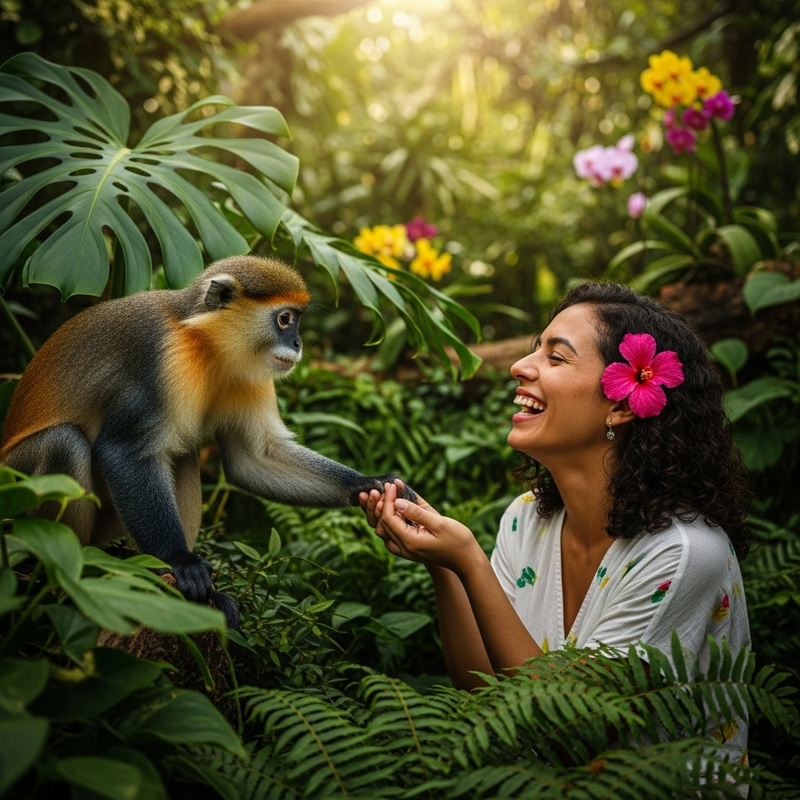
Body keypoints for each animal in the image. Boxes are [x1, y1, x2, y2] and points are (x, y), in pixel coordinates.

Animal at [0, 255, 416, 628]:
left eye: (296, 320)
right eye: (284, 319)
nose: (297, 343)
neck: (203, 341)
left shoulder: (249, 375)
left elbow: (254, 458)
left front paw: (371, 485)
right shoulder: (161, 361)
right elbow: (124, 452)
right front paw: (180, 560)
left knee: (182, 454)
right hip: (16, 489)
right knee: (64, 441)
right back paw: (67, 574)